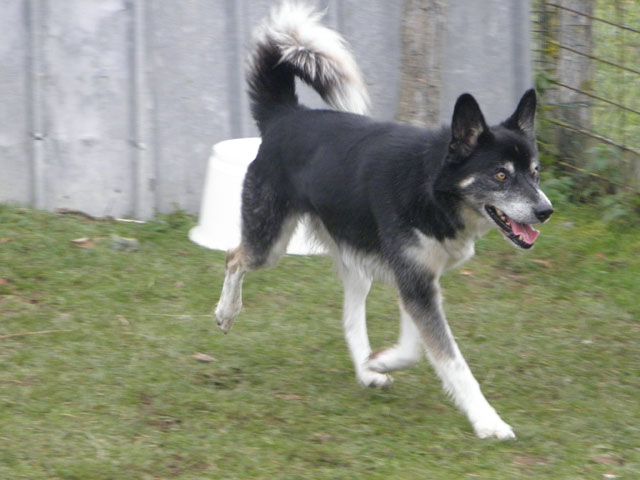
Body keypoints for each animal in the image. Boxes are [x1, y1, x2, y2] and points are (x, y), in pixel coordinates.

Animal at [214, 1, 552, 440]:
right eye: (500, 175)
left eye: (535, 173)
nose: (546, 211)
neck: (429, 186)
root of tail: (286, 115)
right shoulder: (415, 281)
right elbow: (451, 359)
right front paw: (488, 421)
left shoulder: (418, 279)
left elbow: (415, 344)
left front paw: (382, 360)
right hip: (268, 243)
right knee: (234, 257)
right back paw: (227, 312)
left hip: (356, 261)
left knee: (349, 318)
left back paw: (367, 370)